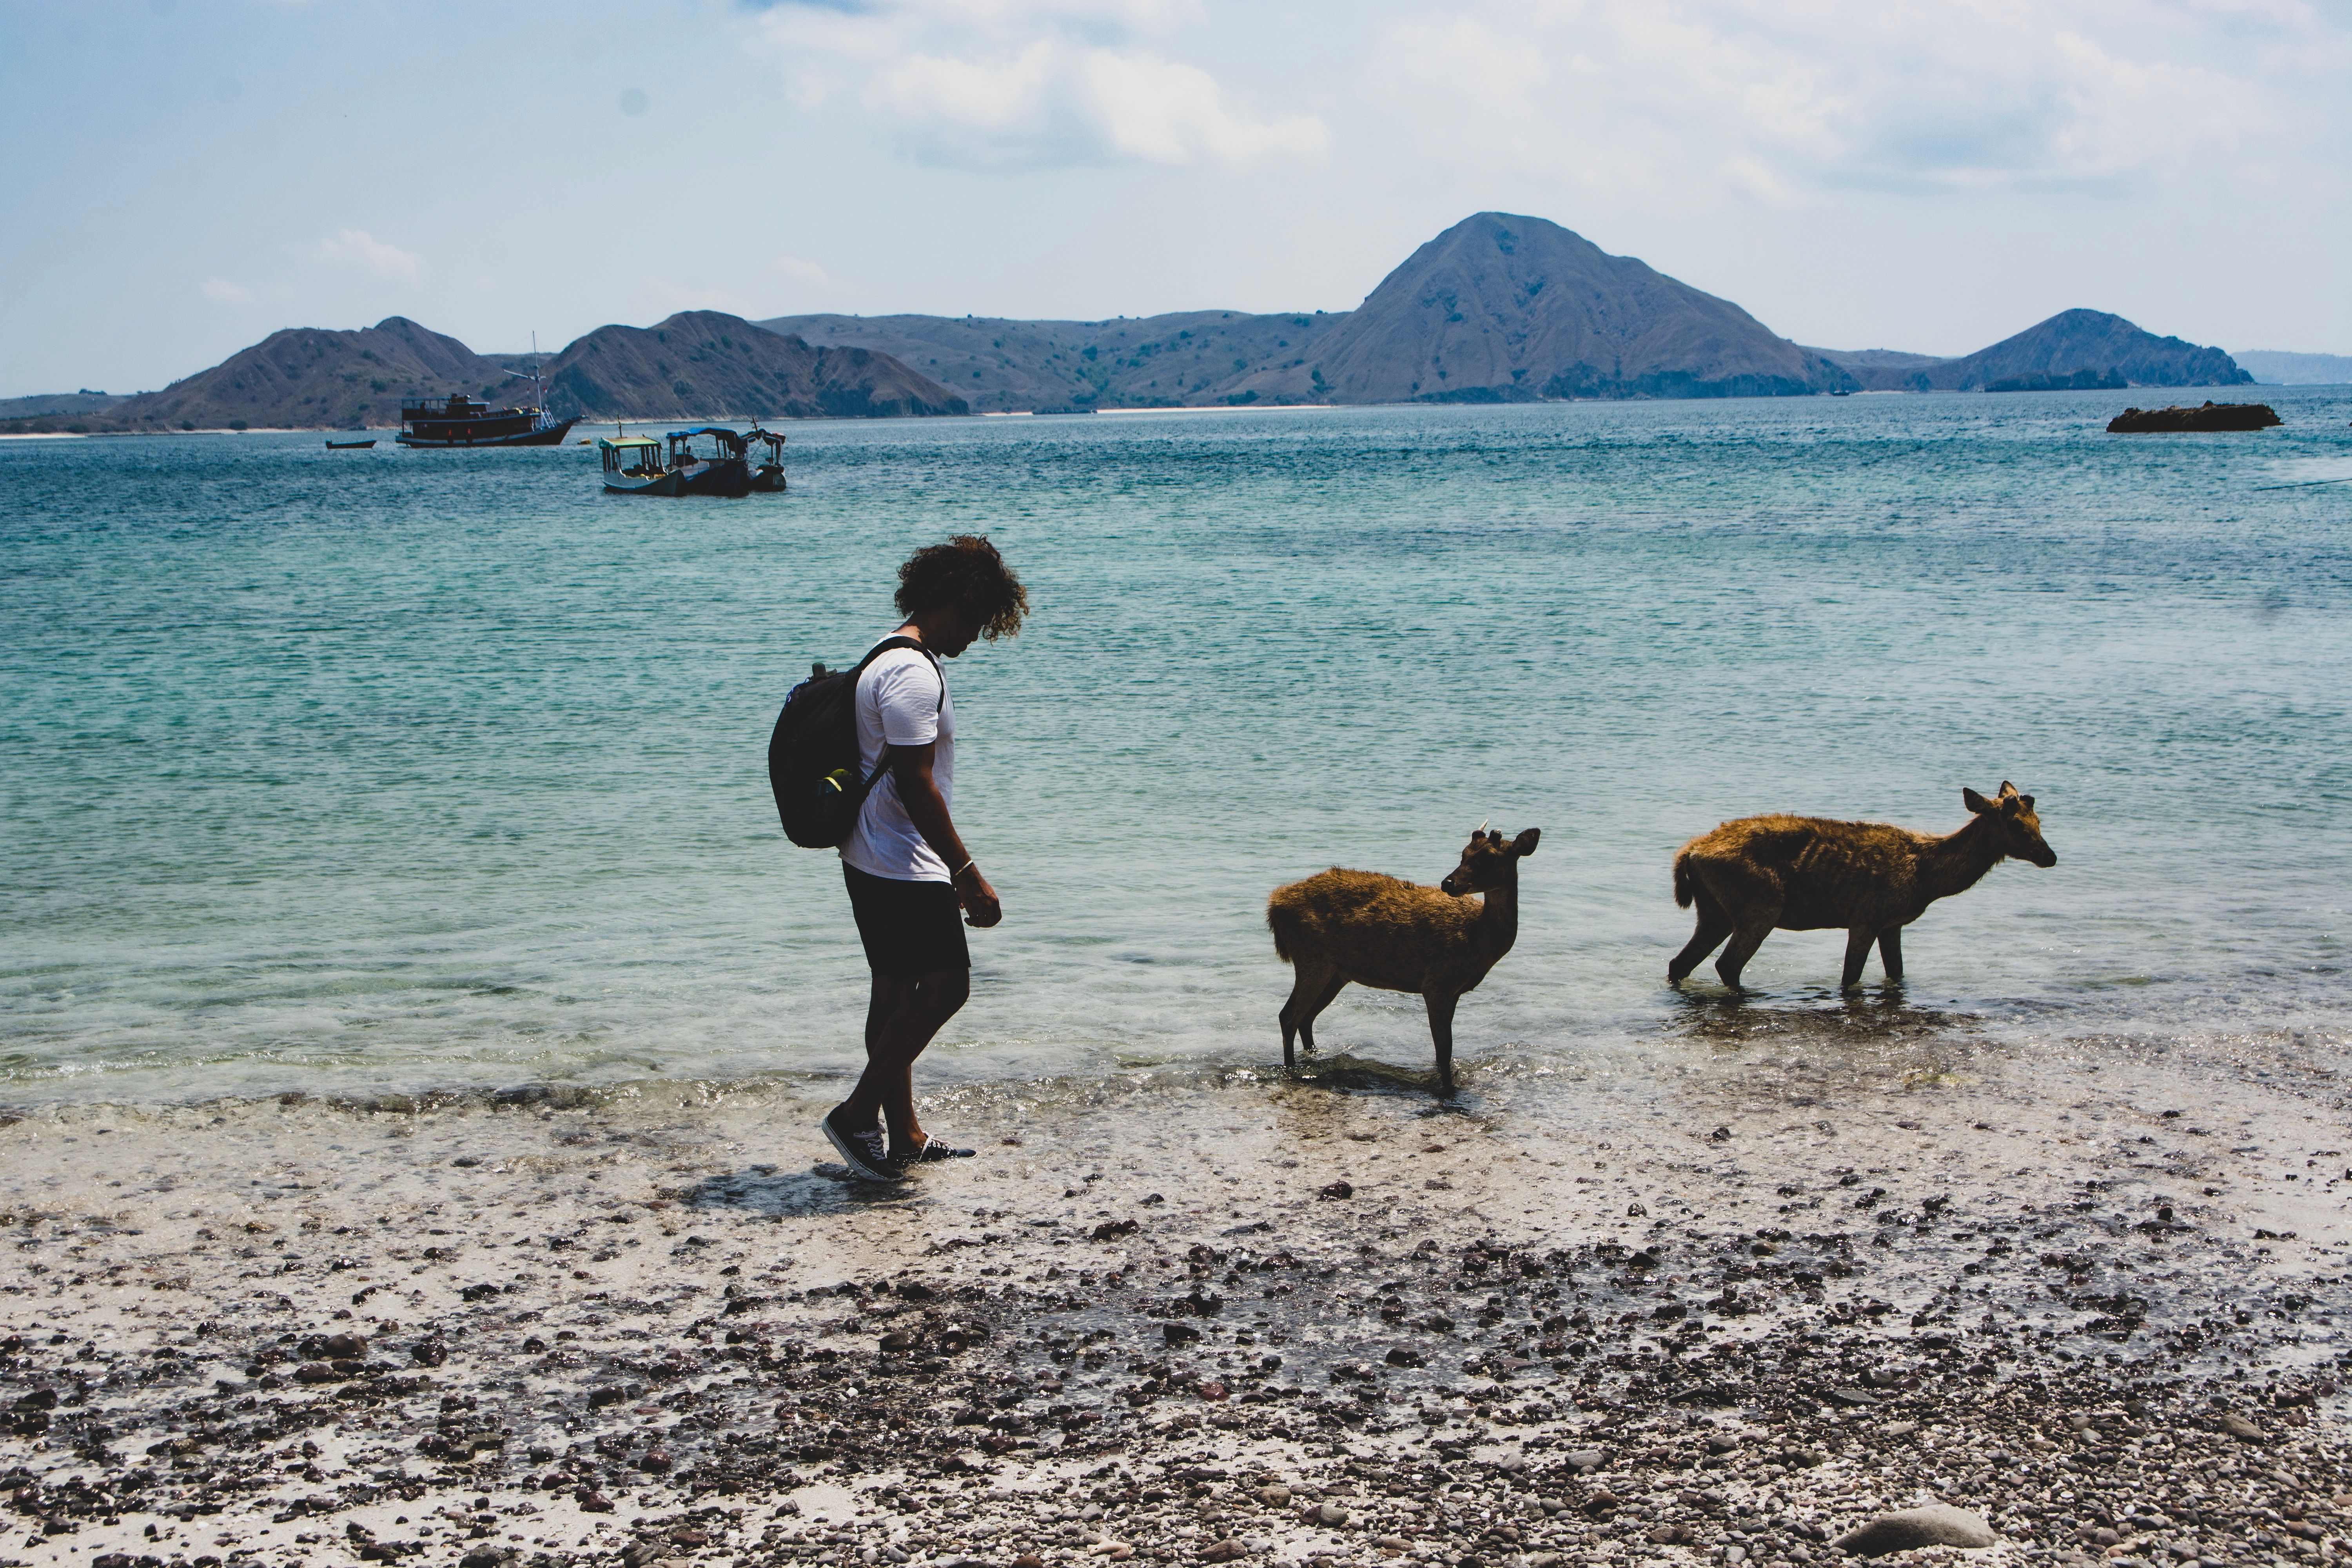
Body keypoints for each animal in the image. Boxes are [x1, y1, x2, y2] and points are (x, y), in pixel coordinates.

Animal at [1266, 826, 1540, 1096]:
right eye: (1464, 854)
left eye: (1490, 857)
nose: (1448, 883)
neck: (1479, 942)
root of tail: (1274, 905)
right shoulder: (1437, 983)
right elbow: (1444, 1051)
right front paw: (1447, 1090)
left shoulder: (1454, 991)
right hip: (1312, 959)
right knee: (1288, 1017)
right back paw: (1291, 1071)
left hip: (1337, 973)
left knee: (1306, 1019)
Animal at [1667, 781, 2056, 992]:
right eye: (2017, 825)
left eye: (2039, 820)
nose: (2050, 856)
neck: (1928, 879)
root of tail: (1691, 852)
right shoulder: (1865, 918)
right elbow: (1850, 977)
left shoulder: (1891, 924)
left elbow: (1896, 973)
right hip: (1760, 906)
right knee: (1726, 965)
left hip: (1714, 911)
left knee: (1679, 963)